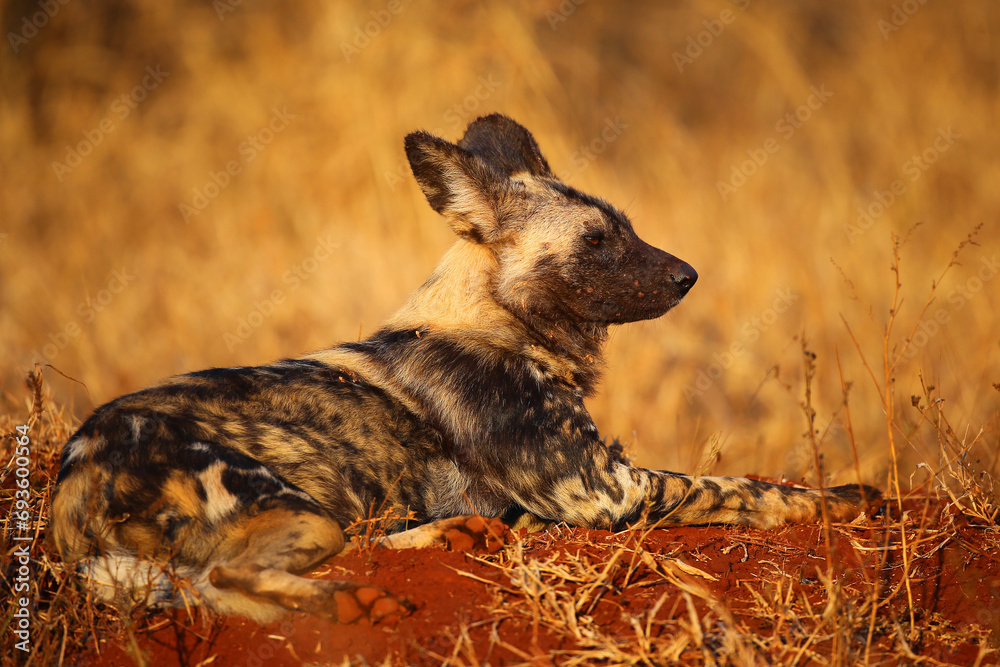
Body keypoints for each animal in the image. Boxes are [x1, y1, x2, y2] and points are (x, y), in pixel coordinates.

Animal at [48, 116, 876, 628]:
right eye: (597, 240)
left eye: (628, 228)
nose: (687, 275)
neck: (501, 323)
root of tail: (72, 471)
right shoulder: (610, 492)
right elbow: (747, 487)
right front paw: (845, 500)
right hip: (296, 512)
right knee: (221, 580)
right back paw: (354, 605)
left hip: (326, 515)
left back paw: (454, 535)